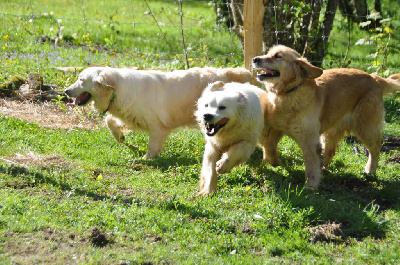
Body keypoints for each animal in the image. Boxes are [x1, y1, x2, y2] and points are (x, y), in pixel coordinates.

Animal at [64, 66, 255, 158]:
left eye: (81, 80)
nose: (65, 91)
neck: (117, 89)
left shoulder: (157, 125)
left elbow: (152, 145)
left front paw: (147, 158)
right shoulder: (131, 115)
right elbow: (109, 120)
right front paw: (120, 137)